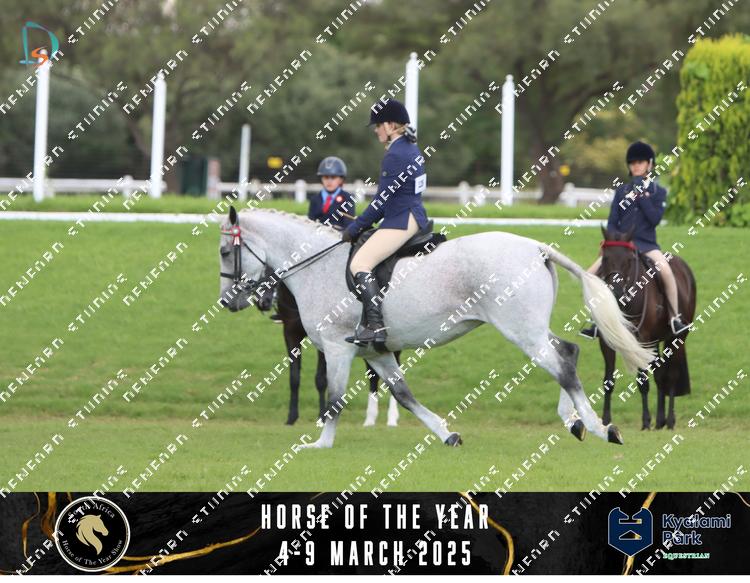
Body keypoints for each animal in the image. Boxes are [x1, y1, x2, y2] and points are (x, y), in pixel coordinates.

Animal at [253, 267, 402, 426]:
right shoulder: (290, 334)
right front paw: (291, 418)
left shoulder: (326, 342)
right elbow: (294, 378)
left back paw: (391, 418)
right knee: (374, 374)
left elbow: (321, 379)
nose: (263, 301)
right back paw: (370, 419)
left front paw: (322, 416)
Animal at [596, 227, 696, 430]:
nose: (616, 292)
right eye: (605, 258)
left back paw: (669, 421)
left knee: (671, 376)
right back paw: (660, 421)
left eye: (629, 260)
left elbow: (643, 381)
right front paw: (606, 421)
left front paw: (645, 422)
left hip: (676, 338)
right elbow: (608, 381)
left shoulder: (642, 340)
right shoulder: (606, 340)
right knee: (660, 375)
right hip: (656, 341)